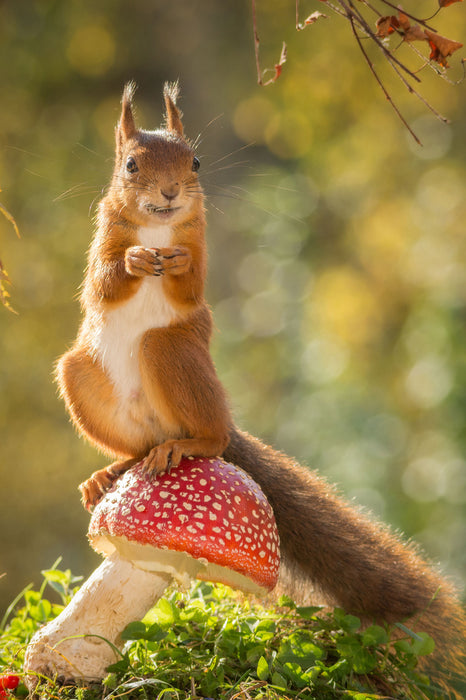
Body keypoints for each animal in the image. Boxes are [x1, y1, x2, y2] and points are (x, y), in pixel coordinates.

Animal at [56, 82, 464, 688]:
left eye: (195, 162)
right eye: (130, 165)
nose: (171, 193)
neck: (158, 230)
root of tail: (176, 430)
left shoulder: (199, 244)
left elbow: (190, 283)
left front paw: (175, 263)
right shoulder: (103, 239)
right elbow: (103, 282)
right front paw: (134, 260)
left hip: (173, 353)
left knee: (212, 435)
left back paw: (190, 444)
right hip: (80, 376)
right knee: (135, 447)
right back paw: (111, 471)